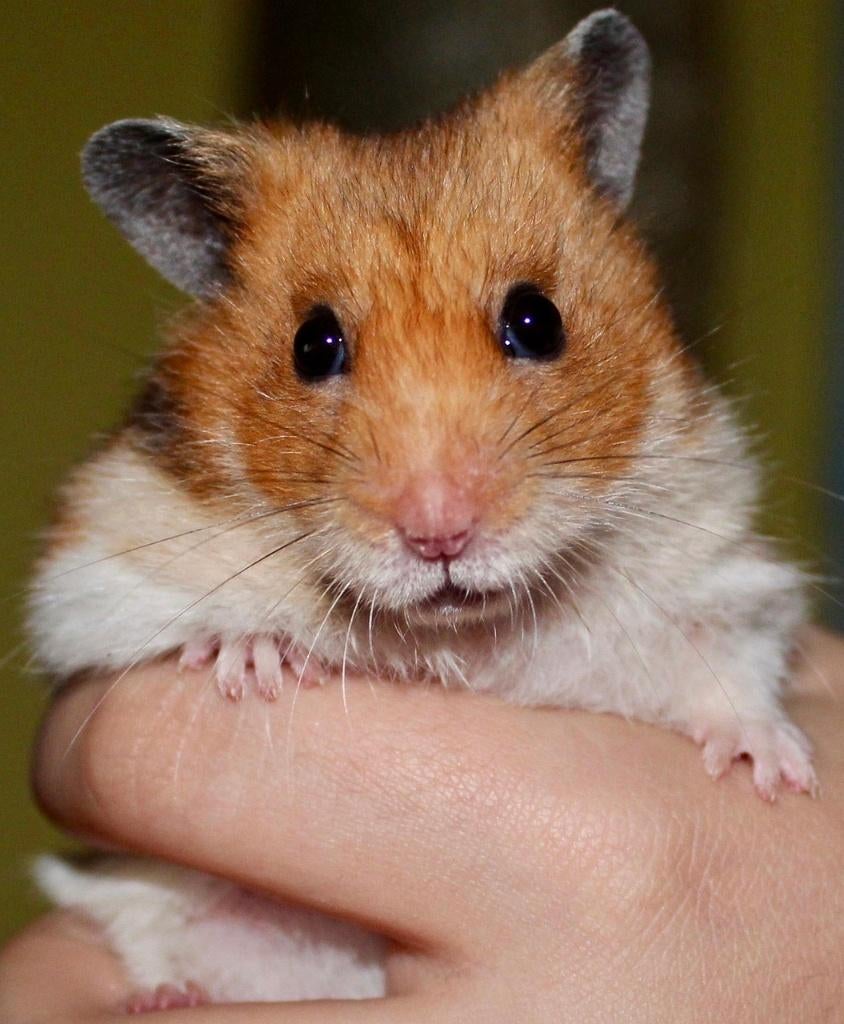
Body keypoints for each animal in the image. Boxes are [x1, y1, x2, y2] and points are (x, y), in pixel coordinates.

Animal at [30, 9, 816, 1009]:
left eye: (537, 320)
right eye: (313, 344)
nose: (440, 533)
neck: (461, 638)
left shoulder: (716, 569)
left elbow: (730, 669)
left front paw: (776, 770)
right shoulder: (98, 570)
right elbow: (166, 620)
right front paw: (254, 661)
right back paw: (168, 995)